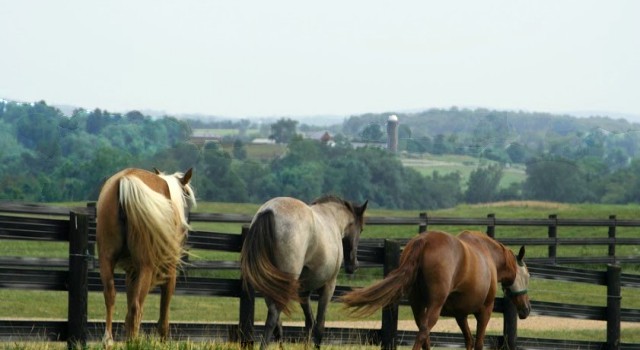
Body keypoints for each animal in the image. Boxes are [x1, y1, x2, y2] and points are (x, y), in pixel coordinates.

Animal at [95, 167, 195, 348]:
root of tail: (124, 181)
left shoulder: (131, 273)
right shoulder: (169, 273)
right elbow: (163, 312)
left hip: (106, 260)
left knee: (110, 296)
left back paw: (109, 340)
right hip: (146, 267)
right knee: (136, 306)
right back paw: (133, 343)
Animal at [241, 196, 370, 348]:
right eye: (361, 229)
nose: (354, 265)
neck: (332, 218)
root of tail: (269, 211)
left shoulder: (303, 292)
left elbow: (309, 322)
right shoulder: (328, 286)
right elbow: (319, 325)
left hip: (269, 284)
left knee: (278, 323)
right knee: (274, 317)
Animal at [342, 230, 532, 350]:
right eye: (528, 275)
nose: (526, 309)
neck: (487, 255)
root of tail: (424, 240)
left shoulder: (460, 315)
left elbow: (469, 340)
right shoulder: (485, 310)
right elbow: (478, 342)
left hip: (417, 304)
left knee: (423, 331)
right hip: (435, 305)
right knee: (424, 331)